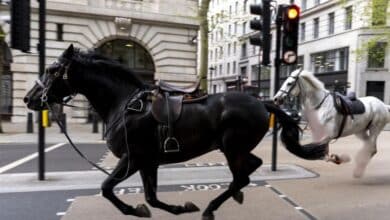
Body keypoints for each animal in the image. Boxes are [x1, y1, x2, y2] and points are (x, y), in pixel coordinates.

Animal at [22, 45, 324, 220]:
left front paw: (135, 210)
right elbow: (151, 198)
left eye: (51, 69)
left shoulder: (133, 158)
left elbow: (107, 188)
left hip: (232, 147)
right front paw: (177, 208)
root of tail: (262, 102)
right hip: (235, 148)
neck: (123, 104)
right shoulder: (148, 162)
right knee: (250, 168)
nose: (29, 98)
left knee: (241, 176)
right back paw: (231, 196)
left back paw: (212, 207)